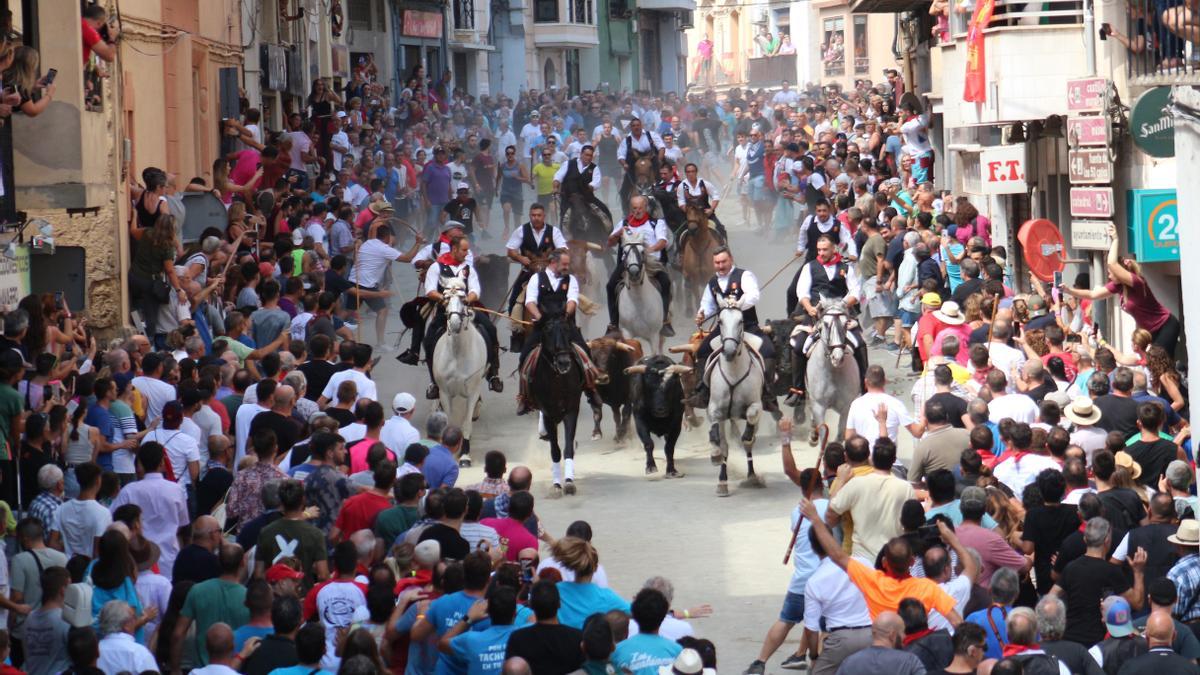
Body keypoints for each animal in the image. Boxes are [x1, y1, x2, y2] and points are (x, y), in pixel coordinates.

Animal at [432, 276, 487, 454]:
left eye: (463, 298)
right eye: (446, 297)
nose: (455, 323)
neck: (457, 354)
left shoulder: (472, 393)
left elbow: (466, 424)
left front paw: (464, 454)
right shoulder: (444, 392)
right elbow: (450, 423)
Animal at [530, 314, 585, 494]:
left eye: (567, 329)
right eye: (547, 331)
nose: (564, 362)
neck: (557, 380)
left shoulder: (571, 410)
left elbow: (568, 448)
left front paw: (568, 481)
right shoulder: (548, 413)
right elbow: (555, 451)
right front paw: (556, 484)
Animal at [700, 299, 768, 494]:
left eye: (741, 321)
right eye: (720, 321)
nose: (729, 351)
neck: (733, 372)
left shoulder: (756, 405)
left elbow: (749, 427)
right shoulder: (715, 410)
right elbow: (720, 442)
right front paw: (716, 458)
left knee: (749, 442)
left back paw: (752, 476)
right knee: (724, 443)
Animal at [796, 294, 864, 441]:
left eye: (846, 323)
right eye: (826, 324)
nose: (837, 358)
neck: (832, 373)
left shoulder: (846, 407)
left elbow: (840, 435)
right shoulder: (819, 406)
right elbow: (823, 435)